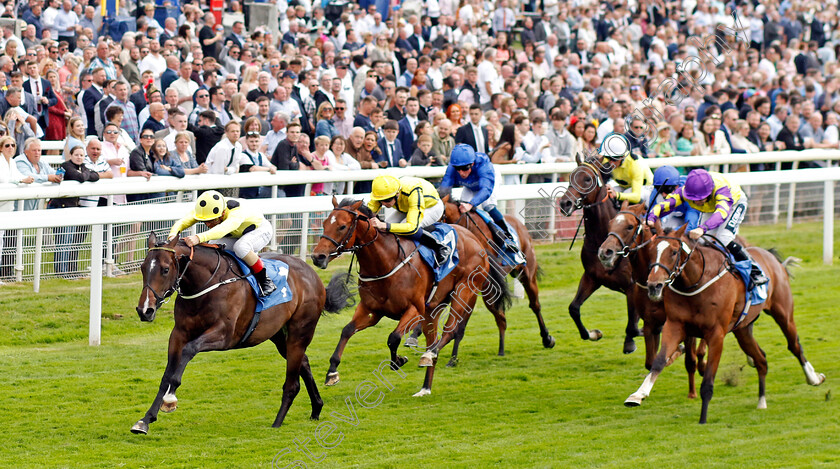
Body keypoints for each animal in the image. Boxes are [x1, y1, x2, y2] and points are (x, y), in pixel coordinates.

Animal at [131, 232, 354, 434]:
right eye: (143, 268)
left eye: (165, 269)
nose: (145, 310)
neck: (206, 284)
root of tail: (313, 275)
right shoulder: (178, 334)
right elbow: (167, 376)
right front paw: (145, 420)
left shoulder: (225, 335)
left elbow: (189, 351)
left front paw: (170, 400)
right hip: (279, 335)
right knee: (304, 363)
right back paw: (316, 408)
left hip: (300, 332)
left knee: (292, 383)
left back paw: (277, 423)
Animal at [312, 196, 496, 396]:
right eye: (324, 223)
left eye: (342, 226)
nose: (317, 257)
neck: (386, 261)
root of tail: (475, 239)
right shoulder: (371, 310)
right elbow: (346, 330)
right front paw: (332, 372)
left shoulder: (414, 309)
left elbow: (393, 338)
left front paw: (398, 361)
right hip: (432, 309)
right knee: (433, 338)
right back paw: (425, 388)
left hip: (464, 290)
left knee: (450, 330)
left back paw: (428, 355)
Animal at [556, 153, 644, 352]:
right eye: (571, 176)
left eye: (588, 179)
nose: (565, 203)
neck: (602, 237)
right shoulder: (592, 277)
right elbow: (574, 308)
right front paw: (593, 333)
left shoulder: (632, 286)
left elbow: (633, 326)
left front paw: (630, 343)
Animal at [628, 223, 824, 424]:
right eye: (652, 251)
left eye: (674, 252)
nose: (654, 286)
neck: (696, 280)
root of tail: (771, 257)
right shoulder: (675, 325)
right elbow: (658, 361)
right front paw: (637, 395)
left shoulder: (716, 334)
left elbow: (707, 381)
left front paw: (703, 419)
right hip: (743, 330)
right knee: (761, 359)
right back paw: (761, 401)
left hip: (783, 313)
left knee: (794, 345)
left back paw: (814, 378)